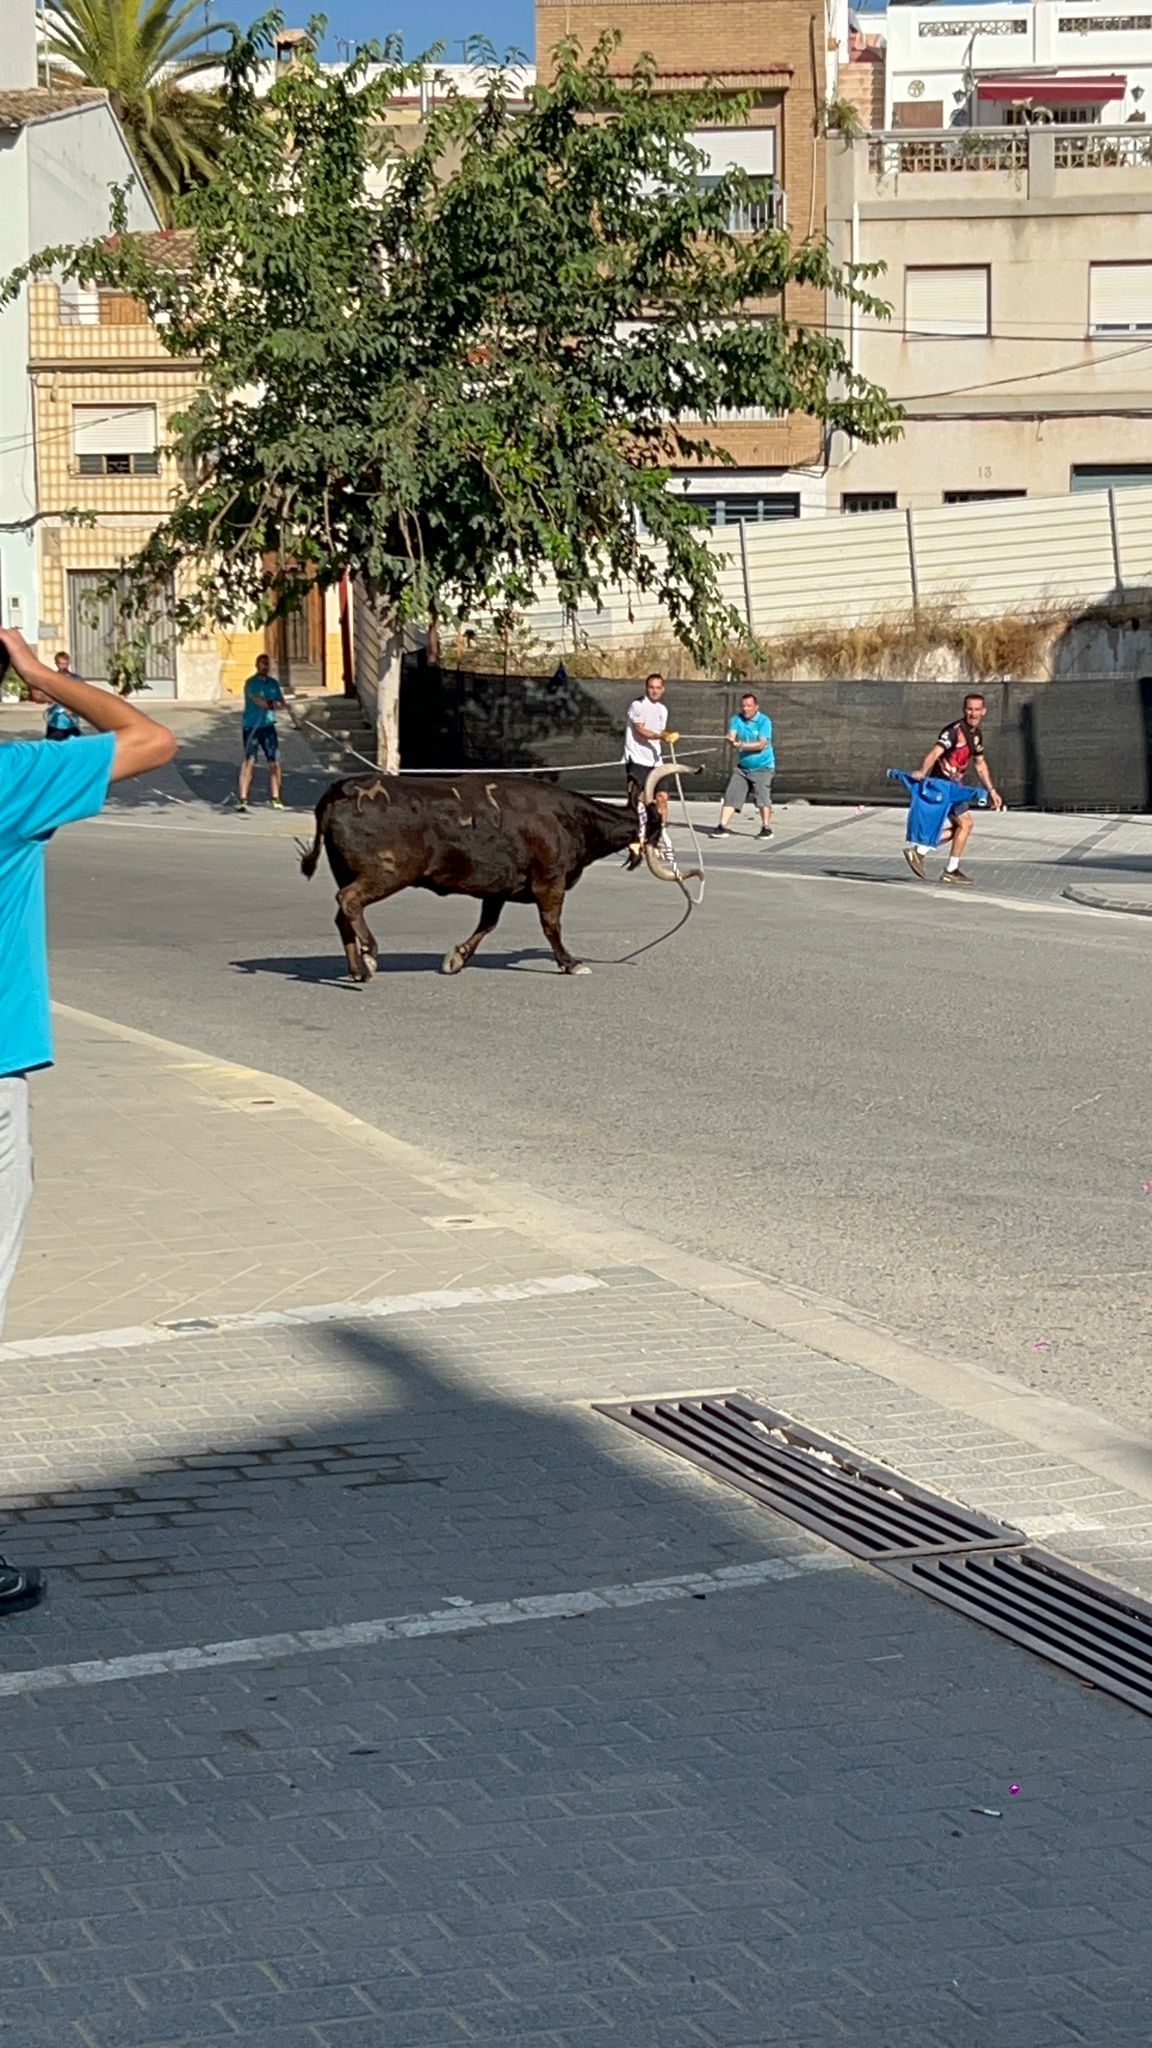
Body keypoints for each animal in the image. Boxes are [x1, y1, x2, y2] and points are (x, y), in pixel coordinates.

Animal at [298, 762, 699, 980]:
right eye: (658, 823)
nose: (666, 850)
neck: (570, 820)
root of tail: (338, 792)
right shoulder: (550, 881)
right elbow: (551, 925)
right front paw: (570, 963)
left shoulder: (497, 889)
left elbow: (487, 924)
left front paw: (456, 958)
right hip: (386, 871)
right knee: (349, 901)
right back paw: (370, 953)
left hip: (347, 869)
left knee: (342, 914)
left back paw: (357, 969)